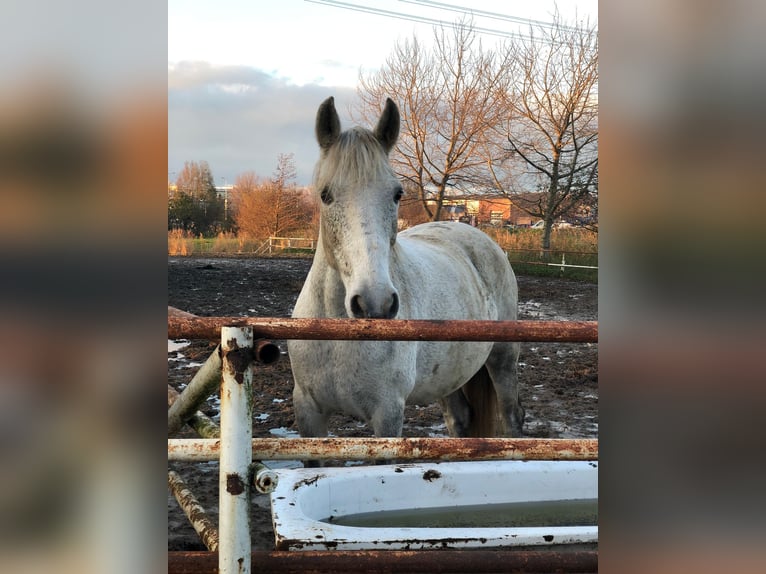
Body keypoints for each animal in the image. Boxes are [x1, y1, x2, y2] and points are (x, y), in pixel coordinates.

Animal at [290, 97, 528, 462]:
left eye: (397, 194)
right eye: (325, 195)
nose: (374, 303)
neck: (337, 337)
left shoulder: (387, 415)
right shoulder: (308, 413)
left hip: (502, 359)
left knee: (513, 417)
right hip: (450, 374)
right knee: (460, 420)